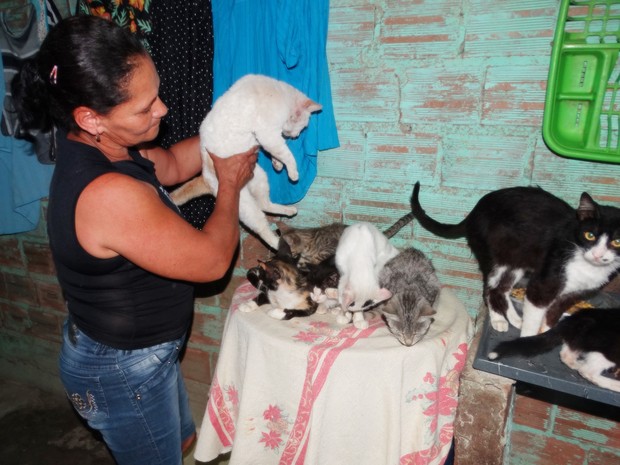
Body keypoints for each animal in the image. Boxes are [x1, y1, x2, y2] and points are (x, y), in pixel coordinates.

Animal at [171, 74, 322, 248]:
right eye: (302, 127)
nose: (296, 136)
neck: (282, 94)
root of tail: (205, 178)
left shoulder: (267, 138)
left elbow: (276, 153)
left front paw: (277, 164)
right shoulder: (268, 134)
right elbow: (286, 154)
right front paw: (293, 173)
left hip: (259, 178)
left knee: (264, 204)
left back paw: (289, 210)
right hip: (244, 205)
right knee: (261, 227)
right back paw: (280, 244)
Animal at [412, 179, 620, 336]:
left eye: (617, 242)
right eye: (590, 235)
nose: (598, 255)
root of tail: (474, 212)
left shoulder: (577, 293)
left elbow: (554, 314)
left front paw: (544, 333)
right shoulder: (542, 284)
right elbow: (535, 312)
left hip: (517, 259)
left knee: (502, 289)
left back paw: (514, 318)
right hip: (494, 257)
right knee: (490, 289)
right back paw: (498, 319)